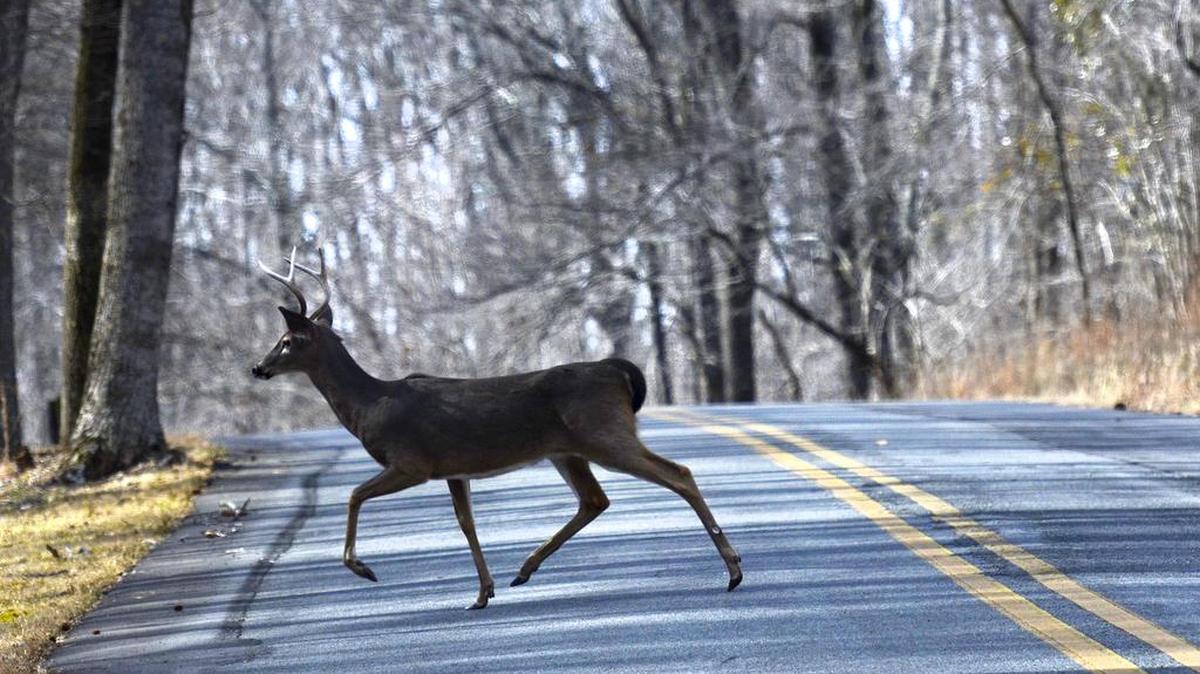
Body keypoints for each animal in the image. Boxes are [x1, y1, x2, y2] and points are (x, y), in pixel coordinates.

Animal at [250, 249, 742, 609]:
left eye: (287, 342)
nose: (258, 368)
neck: (369, 405)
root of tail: (618, 370)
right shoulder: (452, 469)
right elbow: (465, 522)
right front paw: (481, 593)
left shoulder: (411, 462)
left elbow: (354, 495)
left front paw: (363, 568)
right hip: (568, 450)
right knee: (595, 499)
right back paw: (523, 570)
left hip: (603, 434)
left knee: (678, 473)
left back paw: (734, 570)